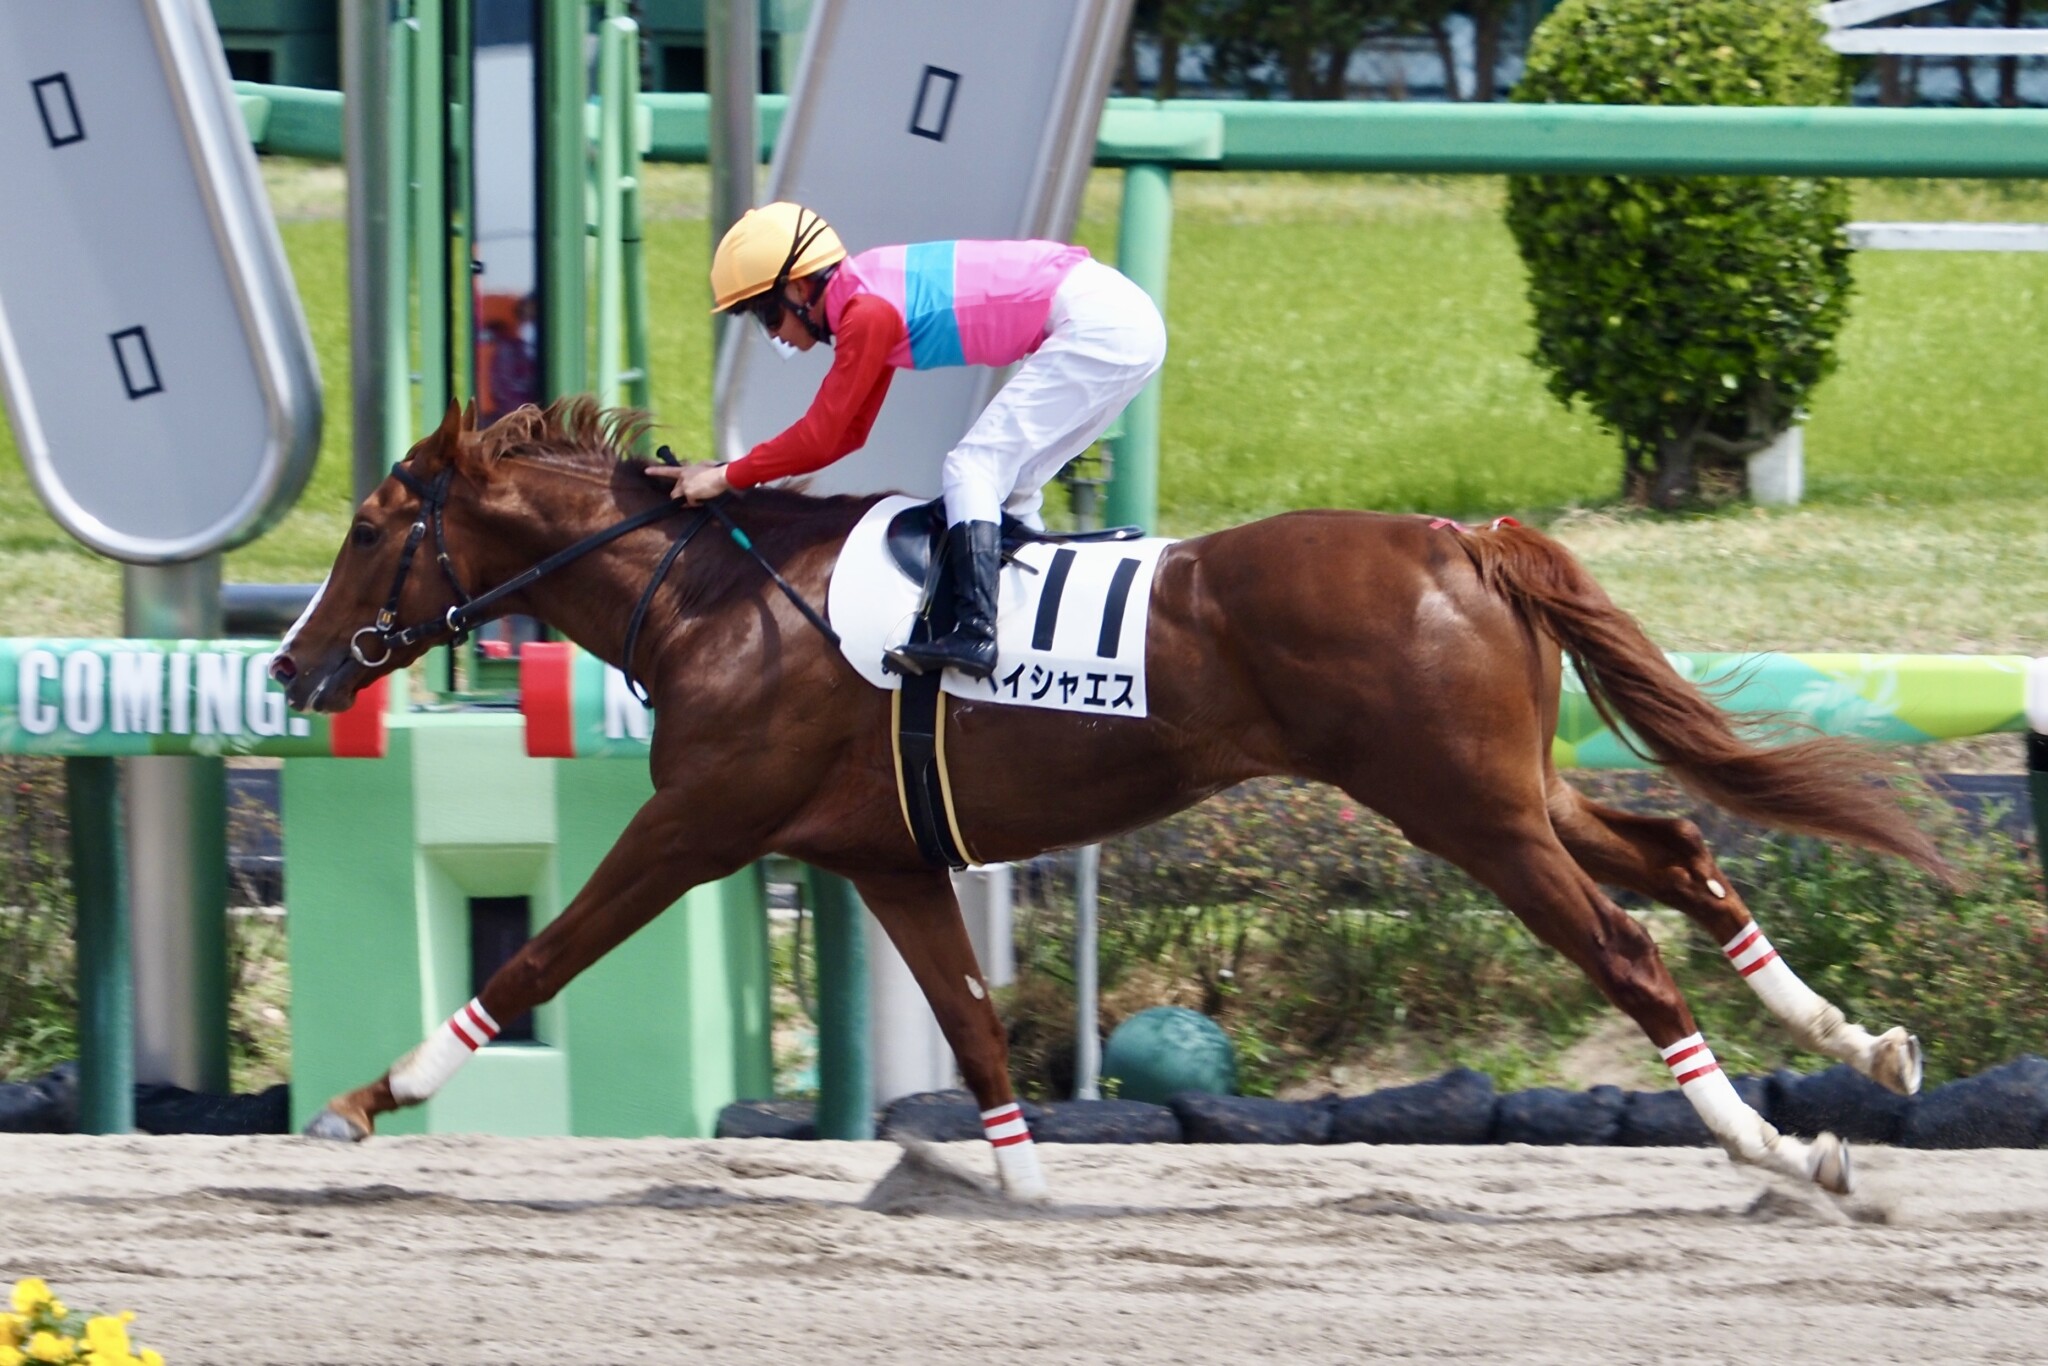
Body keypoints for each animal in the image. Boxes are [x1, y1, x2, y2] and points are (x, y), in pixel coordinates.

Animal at [271, 397, 1945, 1200]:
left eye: (365, 528)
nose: (291, 666)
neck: (711, 601)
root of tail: (1465, 537)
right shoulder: (882, 856)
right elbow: (967, 1022)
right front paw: (1015, 1183)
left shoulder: (699, 822)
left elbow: (543, 954)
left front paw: (365, 1097)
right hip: (1507, 786)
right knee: (1677, 850)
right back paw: (1862, 1046)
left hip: (1460, 808)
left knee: (1626, 942)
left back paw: (1779, 1148)